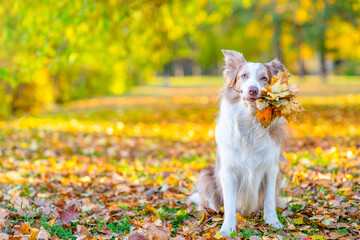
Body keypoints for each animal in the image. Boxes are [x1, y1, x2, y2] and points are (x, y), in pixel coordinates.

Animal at [190, 49, 288, 236]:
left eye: (264, 78)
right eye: (244, 76)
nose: (252, 90)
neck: (250, 122)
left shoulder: (271, 168)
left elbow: (269, 200)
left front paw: (273, 222)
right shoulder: (228, 171)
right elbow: (229, 204)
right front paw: (227, 229)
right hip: (206, 176)